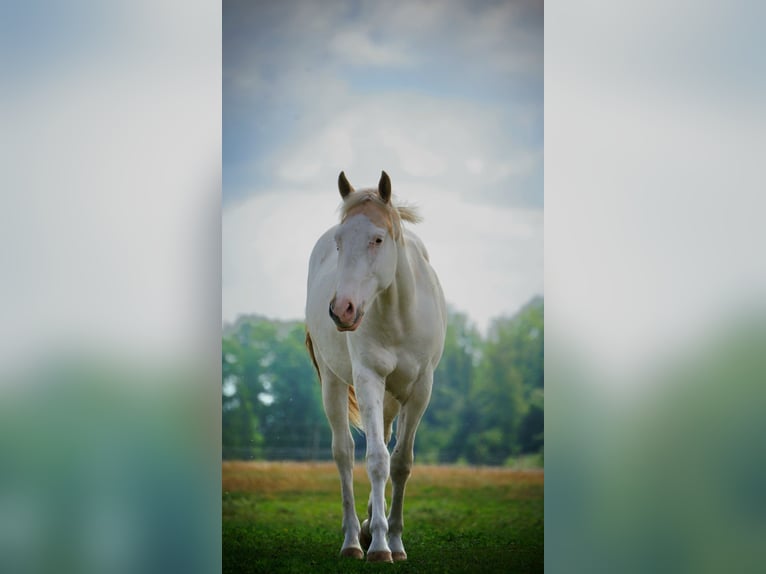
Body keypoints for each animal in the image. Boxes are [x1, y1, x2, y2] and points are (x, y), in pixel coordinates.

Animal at [305, 171, 447, 562]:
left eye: (377, 239)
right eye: (339, 242)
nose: (342, 310)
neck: (398, 311)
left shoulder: (420, 390)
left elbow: (400, 463)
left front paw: (394, 540)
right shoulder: (368, 378)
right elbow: (376, 460)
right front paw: (381, 545)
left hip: (390, 399)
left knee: (381, 438)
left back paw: (369, 525)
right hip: (334, 384)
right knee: (344, 454)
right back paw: (354, 539)